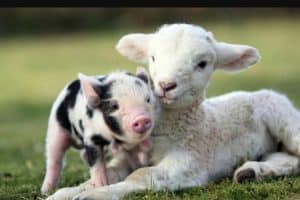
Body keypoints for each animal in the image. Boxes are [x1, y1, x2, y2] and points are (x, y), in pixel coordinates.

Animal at [47, 23, 300, 200]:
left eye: (202, 64)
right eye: (153, 57)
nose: (166, 85)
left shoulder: (191, 161)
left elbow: (141, 175)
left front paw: (95, 194)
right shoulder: (127, 158)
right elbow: (109, 173)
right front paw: (66, 192)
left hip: (284, 119)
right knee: (286, 158)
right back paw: (251, 171)